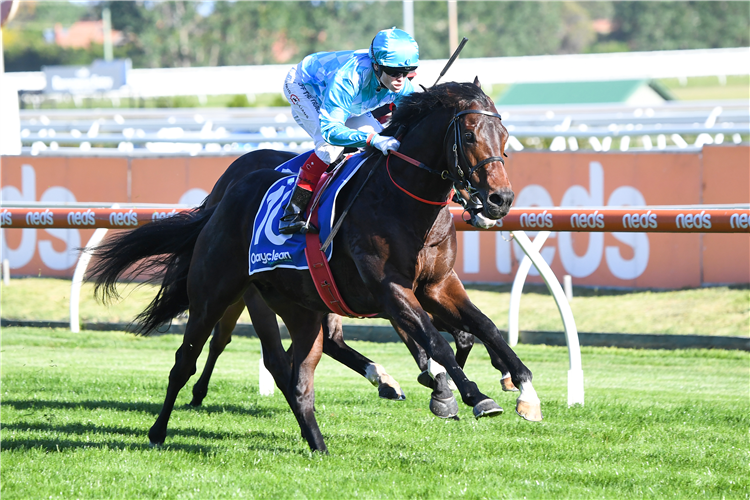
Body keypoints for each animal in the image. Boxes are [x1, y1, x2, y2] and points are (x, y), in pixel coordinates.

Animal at [91, 81, 544, 454]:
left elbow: (483, 327)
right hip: (215, 295)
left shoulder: (437, 285)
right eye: (469, 135)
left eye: (505, 136)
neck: (404, 203)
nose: (501, 199)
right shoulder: (390, 289)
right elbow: (436, 342)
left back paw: (319, 441)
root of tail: (224, 195)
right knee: (189, 360)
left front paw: (523, 388)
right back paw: (159, 430)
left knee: (296, 372)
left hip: (301, 307)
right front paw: (468, 395)